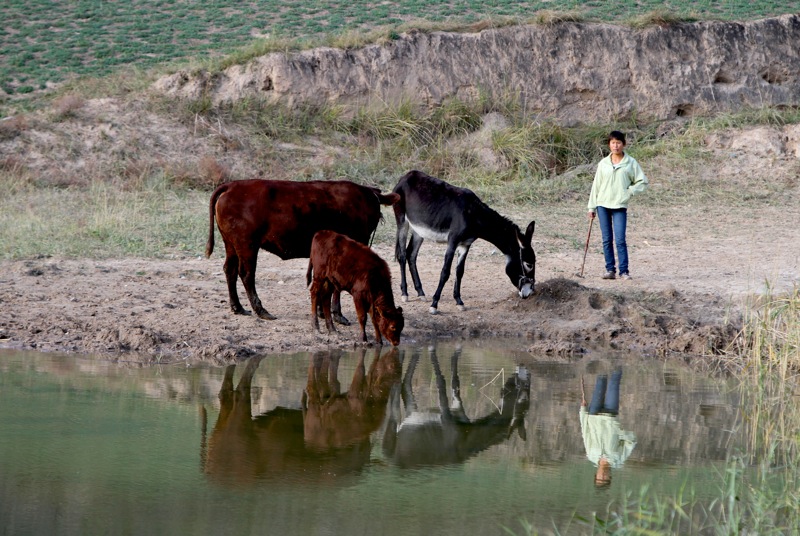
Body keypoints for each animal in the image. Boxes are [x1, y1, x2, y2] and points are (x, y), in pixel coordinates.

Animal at [206, 180, 400, 322]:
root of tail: (232, 185)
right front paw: (338, 315)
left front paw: (323, 312)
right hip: (247, 245)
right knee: (246, 274)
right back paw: (261, 310)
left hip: (231, 245)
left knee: (230, 270)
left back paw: (238, 307)